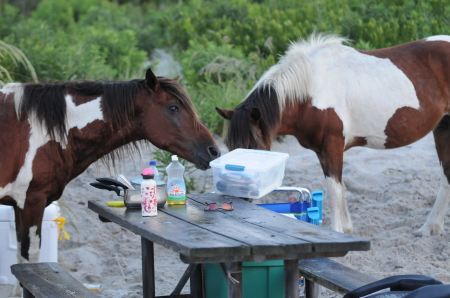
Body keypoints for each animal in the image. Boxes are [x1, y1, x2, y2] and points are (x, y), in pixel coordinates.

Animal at [217, 32, 450, 236]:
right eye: (231, 148)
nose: (241, 198)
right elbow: (340, 187)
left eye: (254, 148)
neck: (310, 92)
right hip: (442, 129)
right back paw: (431, 228)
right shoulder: (322, 151)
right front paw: (346, 229)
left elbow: (334, 191)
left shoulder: (332, 145)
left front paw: (337, 231)